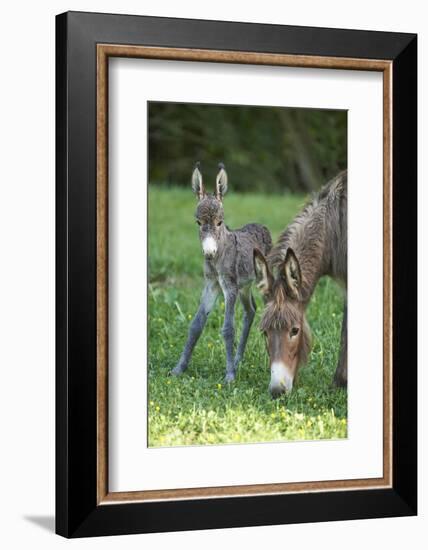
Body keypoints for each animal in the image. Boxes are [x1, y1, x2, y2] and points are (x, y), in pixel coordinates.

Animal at [171, 164, 270, 384]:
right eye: (198, 222)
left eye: (220, 222)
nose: (209, 252)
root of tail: (260, 225)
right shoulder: (212, 285)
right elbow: (196, 325)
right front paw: (179, 369)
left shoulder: (229, 287)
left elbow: (228, 329)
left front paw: (230, 376)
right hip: (244, 286)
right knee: (251, 310)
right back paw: (239, 359)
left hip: (264, 279)